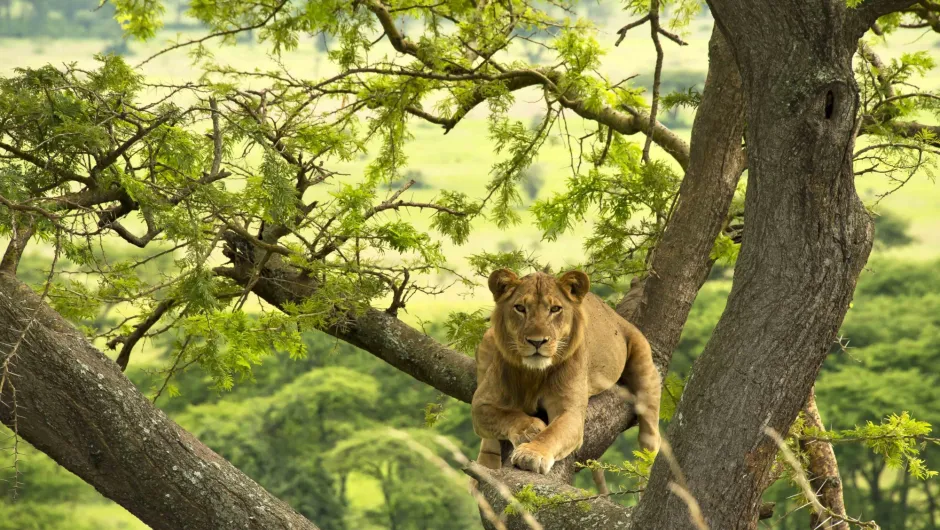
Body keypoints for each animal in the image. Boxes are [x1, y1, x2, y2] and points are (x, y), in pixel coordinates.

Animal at [470, 268, 660, 474]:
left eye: (555, 309)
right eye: (520, 308)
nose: (537, 342)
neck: (534, 373)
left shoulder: (570, 412)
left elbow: (552, 433)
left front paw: (532, 453)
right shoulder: (481, 403)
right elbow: (507, 415)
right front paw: (531, 429)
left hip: (643, 359)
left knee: (651, 431)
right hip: (488, 340)